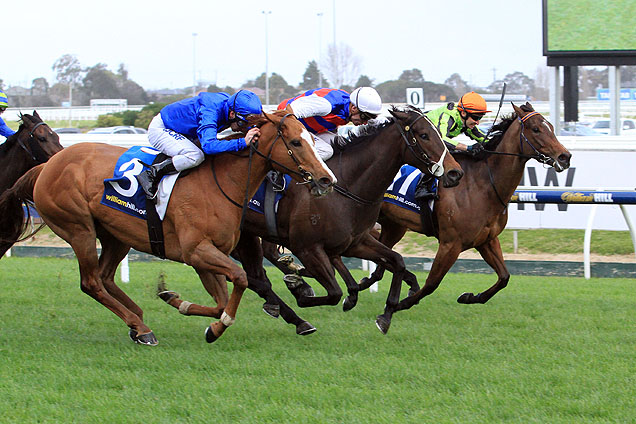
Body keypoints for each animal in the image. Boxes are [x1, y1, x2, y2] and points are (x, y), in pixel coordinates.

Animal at [158, 106, 468, 334]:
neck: (347, 185)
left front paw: (387, 314)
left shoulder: (355, 241)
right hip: (242, 235)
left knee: (258, 274)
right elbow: (332, 291)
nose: (455, 173)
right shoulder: (307, 247)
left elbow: (397, 261)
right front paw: (301, 289)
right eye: (424, 134)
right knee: (257, 278)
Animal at [356, 103, 572, 334]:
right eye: (536, 129)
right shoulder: (451, 243)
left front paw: (469, 297)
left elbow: (504, 277)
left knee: (381, 255)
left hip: (394, 225)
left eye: (551, 127)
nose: (565, 157)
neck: (483, 184)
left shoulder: (487, 240)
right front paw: (399, 305)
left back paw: (368, 281)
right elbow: (432, 283)